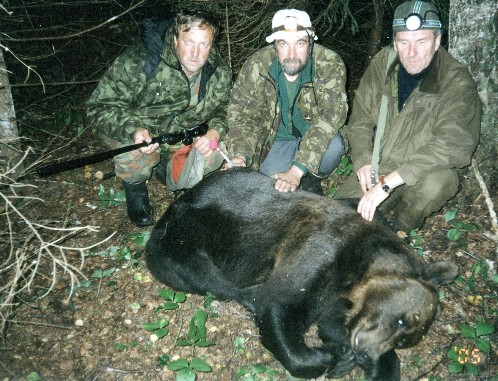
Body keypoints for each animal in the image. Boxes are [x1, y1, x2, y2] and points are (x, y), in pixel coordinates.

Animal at [145, 168, 460, 378]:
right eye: (400, 320)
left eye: (405, 339)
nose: (366, 354)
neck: (358, 269)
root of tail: (171, 207)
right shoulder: (321, 249)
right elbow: (281, 305)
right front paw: (334, 356)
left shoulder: (340, 297)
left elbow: (331, 321)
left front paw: (372, 363)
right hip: (186, 233)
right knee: (200, 273)